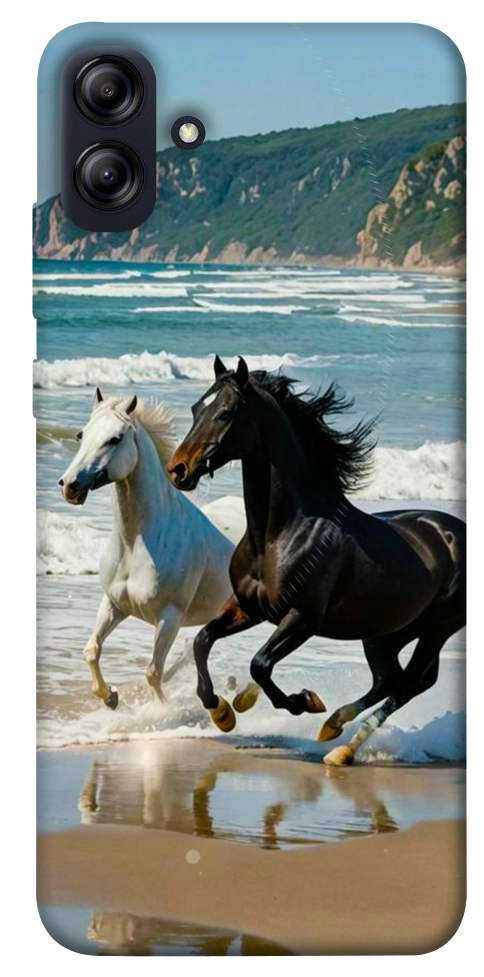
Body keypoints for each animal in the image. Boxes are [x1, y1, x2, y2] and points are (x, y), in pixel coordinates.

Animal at [59, 387, 234, 709]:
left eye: (115, 438)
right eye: (81, 434)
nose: (69, 485)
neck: (135, 544)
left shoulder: (169, 618)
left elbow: (153, 672)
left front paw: (161, 711)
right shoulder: (114, 604)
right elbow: (91, 650)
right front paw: (110, 697)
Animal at [166, 356, 466, 765]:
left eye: (226, 412)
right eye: (197, 408)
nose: (178, 469)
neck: (279, 534)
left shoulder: (302, 618)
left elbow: (260, 664)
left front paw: (302, 701)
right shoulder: (249, 608)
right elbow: (202, 640)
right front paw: (223, 712)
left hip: (438, 628)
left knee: (411, 683)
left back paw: (341, 747)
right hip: (386, 632)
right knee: (390, 679)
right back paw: (334, 728)